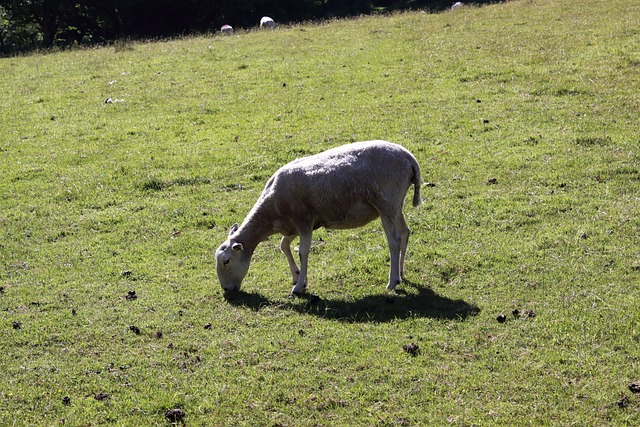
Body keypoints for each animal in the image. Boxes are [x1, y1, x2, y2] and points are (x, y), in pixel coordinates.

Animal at [215, 142, 422, 296]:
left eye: (226, 261)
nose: (226, 290)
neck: (271, 212)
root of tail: (409, 158)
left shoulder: (304, 222)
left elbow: (303, 252)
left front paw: (298, 286)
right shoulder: (295, 225)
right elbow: (284, 245)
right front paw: (297, 276)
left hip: (386, 204)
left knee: (394, 240)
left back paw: (392, 281)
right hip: (396, 205)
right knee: (405, 232)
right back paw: (401, 272)